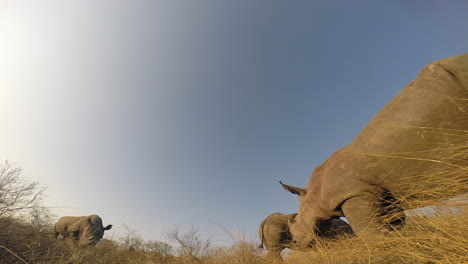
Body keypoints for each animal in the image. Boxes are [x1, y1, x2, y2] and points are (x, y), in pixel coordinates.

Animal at [282, 54, 468, 250]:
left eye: (297, 221)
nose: (296, 243)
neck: (314, 192)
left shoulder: (354, 193)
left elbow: (371, 233)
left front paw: (388, 250)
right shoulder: (385, 196)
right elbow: (395, 226)